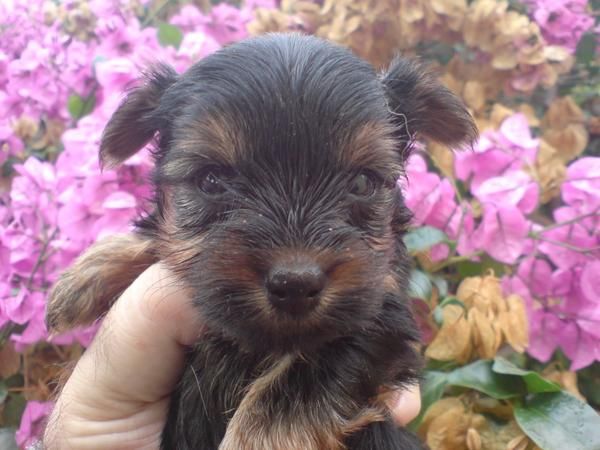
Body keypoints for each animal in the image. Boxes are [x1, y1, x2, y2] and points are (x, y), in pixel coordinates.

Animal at [45, 33, 478, 448]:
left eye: (362, 182)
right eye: (211, 180)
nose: (295, 283)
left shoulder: (381, 318)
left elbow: (297, 380)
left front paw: (250, 439)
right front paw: (87, 276)